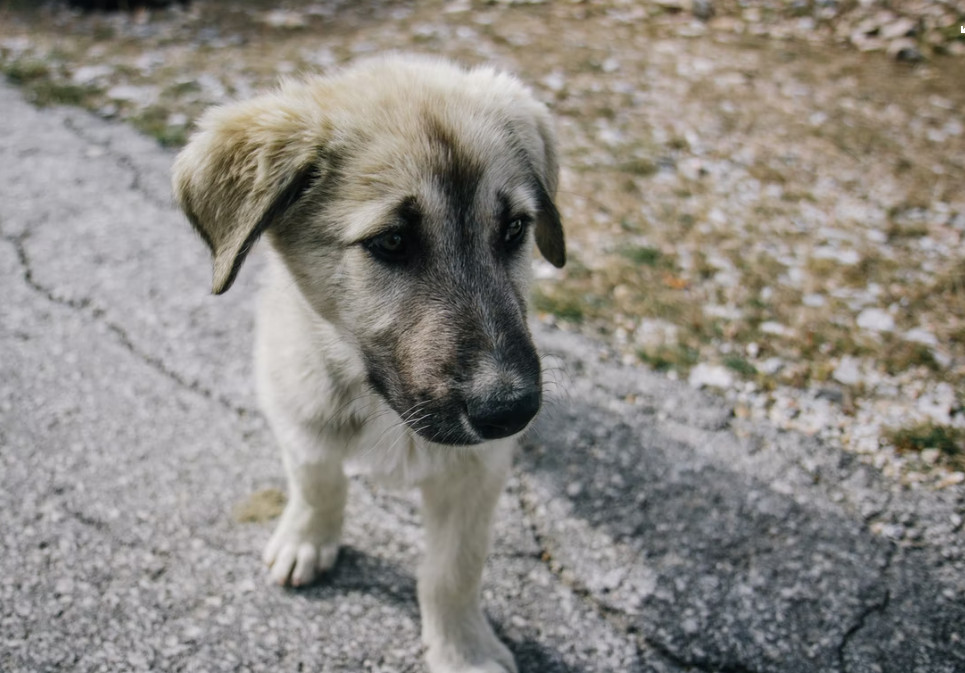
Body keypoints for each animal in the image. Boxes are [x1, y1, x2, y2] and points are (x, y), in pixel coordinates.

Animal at [173, 53, 564, 672]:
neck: (379, 402)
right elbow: (318, 483)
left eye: (514, 229)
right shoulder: (299, 416)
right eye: (392, 242)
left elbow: (454, 570)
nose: (511, 410)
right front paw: (309, 538)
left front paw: (462, 648)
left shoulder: (477, 474)